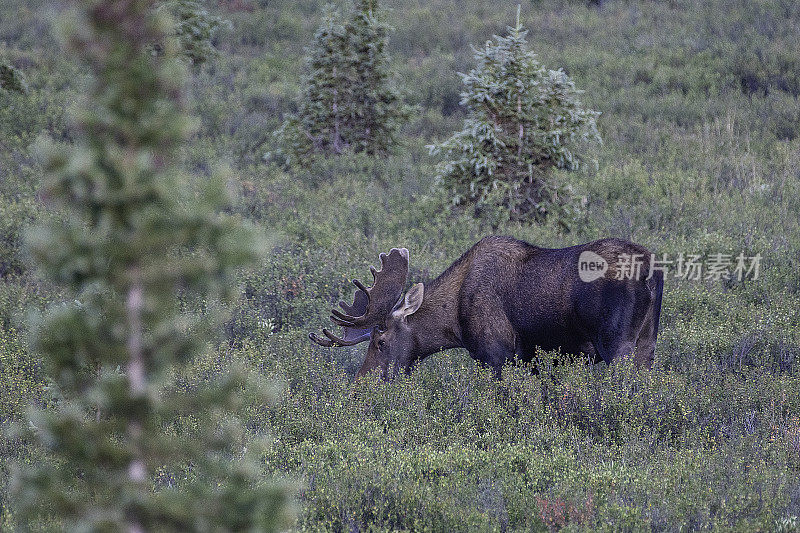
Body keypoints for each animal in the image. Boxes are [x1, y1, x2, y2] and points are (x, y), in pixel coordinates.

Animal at [310, 234, 664, 378]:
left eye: (380, 341)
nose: (359, 386)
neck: (453, 322)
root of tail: (649, 269)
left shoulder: (495, 354)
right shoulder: (529, 358)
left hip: (618, 344)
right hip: (647, 343)